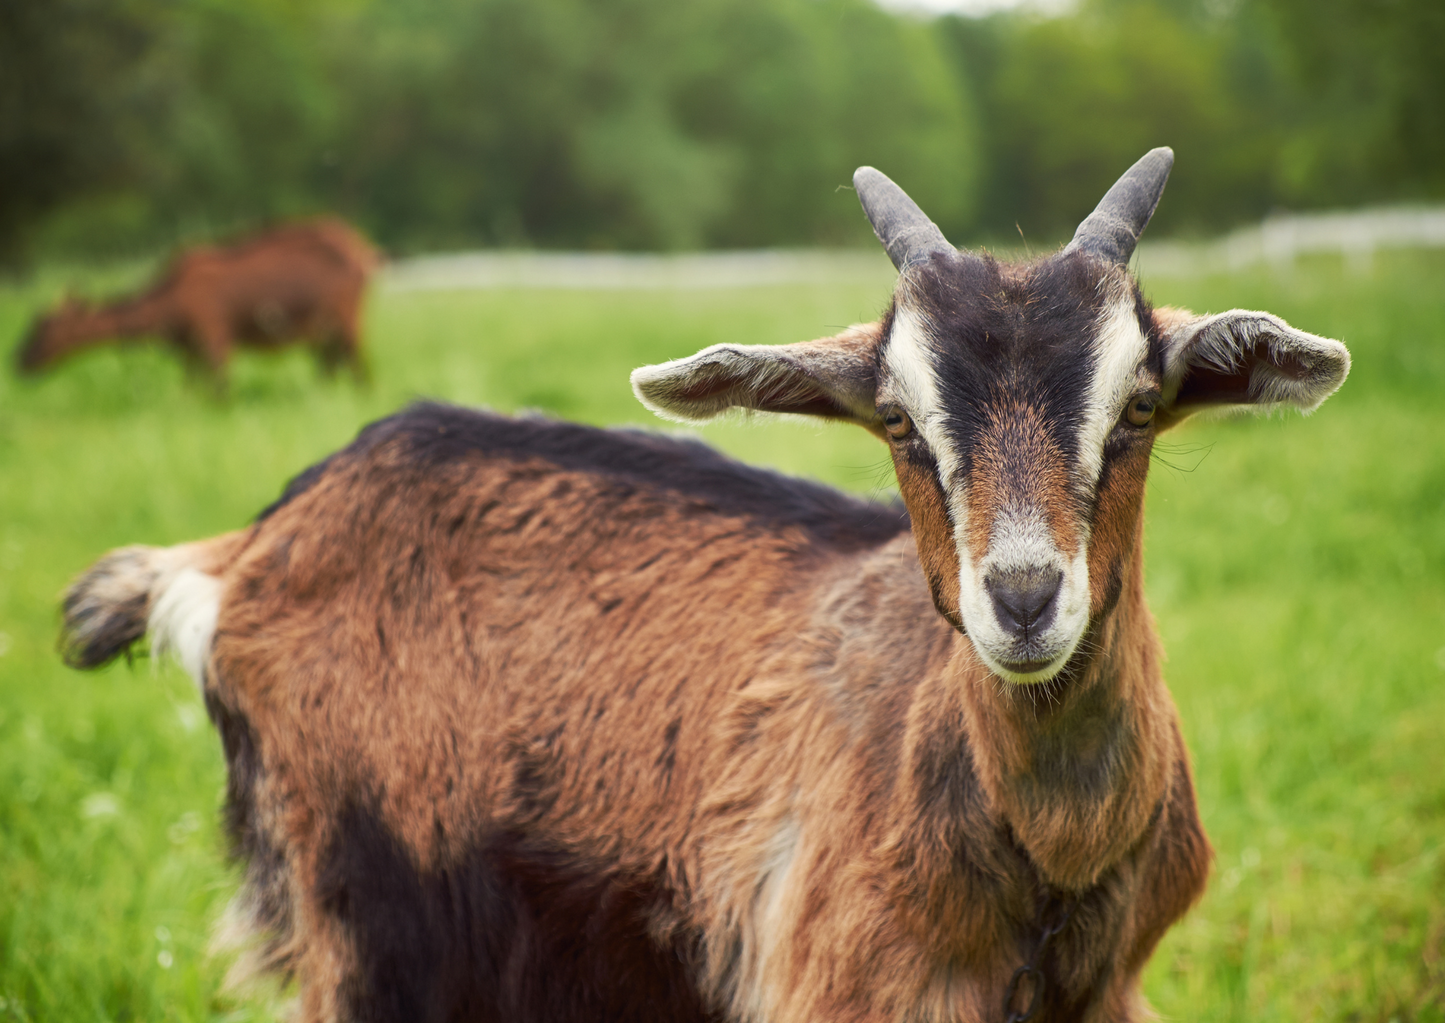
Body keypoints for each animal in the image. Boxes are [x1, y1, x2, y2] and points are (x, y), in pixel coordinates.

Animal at [16, 217, 379, 384]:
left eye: (43, 326)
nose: (18, 360)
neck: (167, 307)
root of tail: (364, 250)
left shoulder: (214, 336)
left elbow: (219, 391)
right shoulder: (189, 349)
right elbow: (192, 391)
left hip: (348, 319)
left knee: (359, 368)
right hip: (325, 330)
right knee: (331, 367)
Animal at [58, 149, 1349, 1022]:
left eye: (1137, 408)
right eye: (895, 419)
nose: (1023, 600)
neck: (1045, 863)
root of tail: (247, 547)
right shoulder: (835, 982)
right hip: (364, 917)